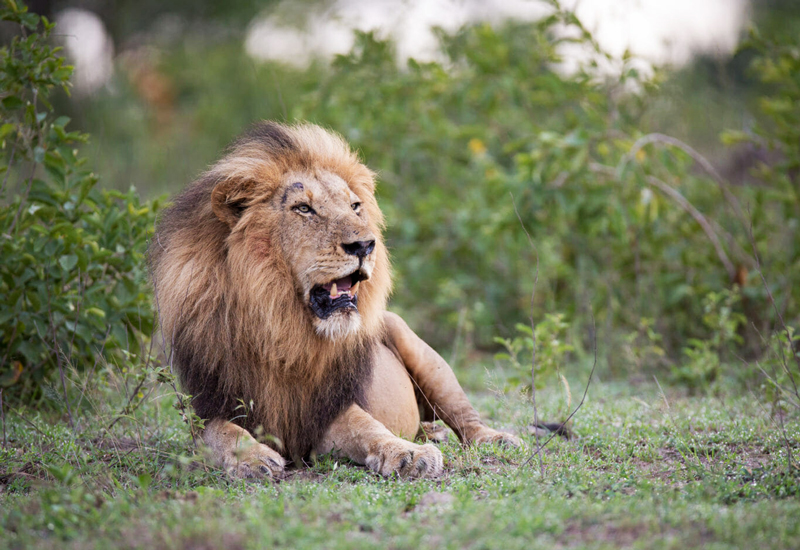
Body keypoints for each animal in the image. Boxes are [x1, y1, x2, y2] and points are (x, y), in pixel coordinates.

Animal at [151, 123, 520, 480]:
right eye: (303, 209)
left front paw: (408, 454)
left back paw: (495, 439)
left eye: (355, 206)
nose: (364, 245)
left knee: (465, 417)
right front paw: (253, 459)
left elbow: (368, 427)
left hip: (423, 353)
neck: (281, 330)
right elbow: (223, 434)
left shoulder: (325, 409)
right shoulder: (212, 405)